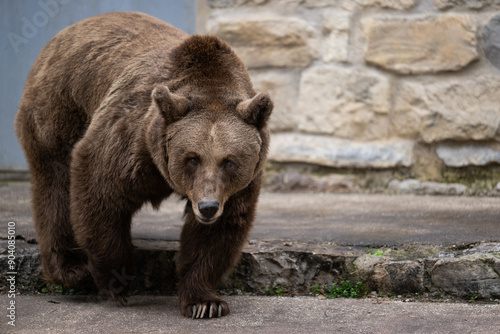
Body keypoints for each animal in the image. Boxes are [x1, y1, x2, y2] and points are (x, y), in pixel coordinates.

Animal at [14, 11, 274, 318]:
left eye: (229, 161)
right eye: (192, 158)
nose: (207, 207)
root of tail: (65, 32)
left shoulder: (239, 186)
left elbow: (217, 233)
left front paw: (204, 302)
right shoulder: (132, 137)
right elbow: (101, 191)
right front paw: (118, 281)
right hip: (59, 107)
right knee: (55, 184)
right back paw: (71, 269)